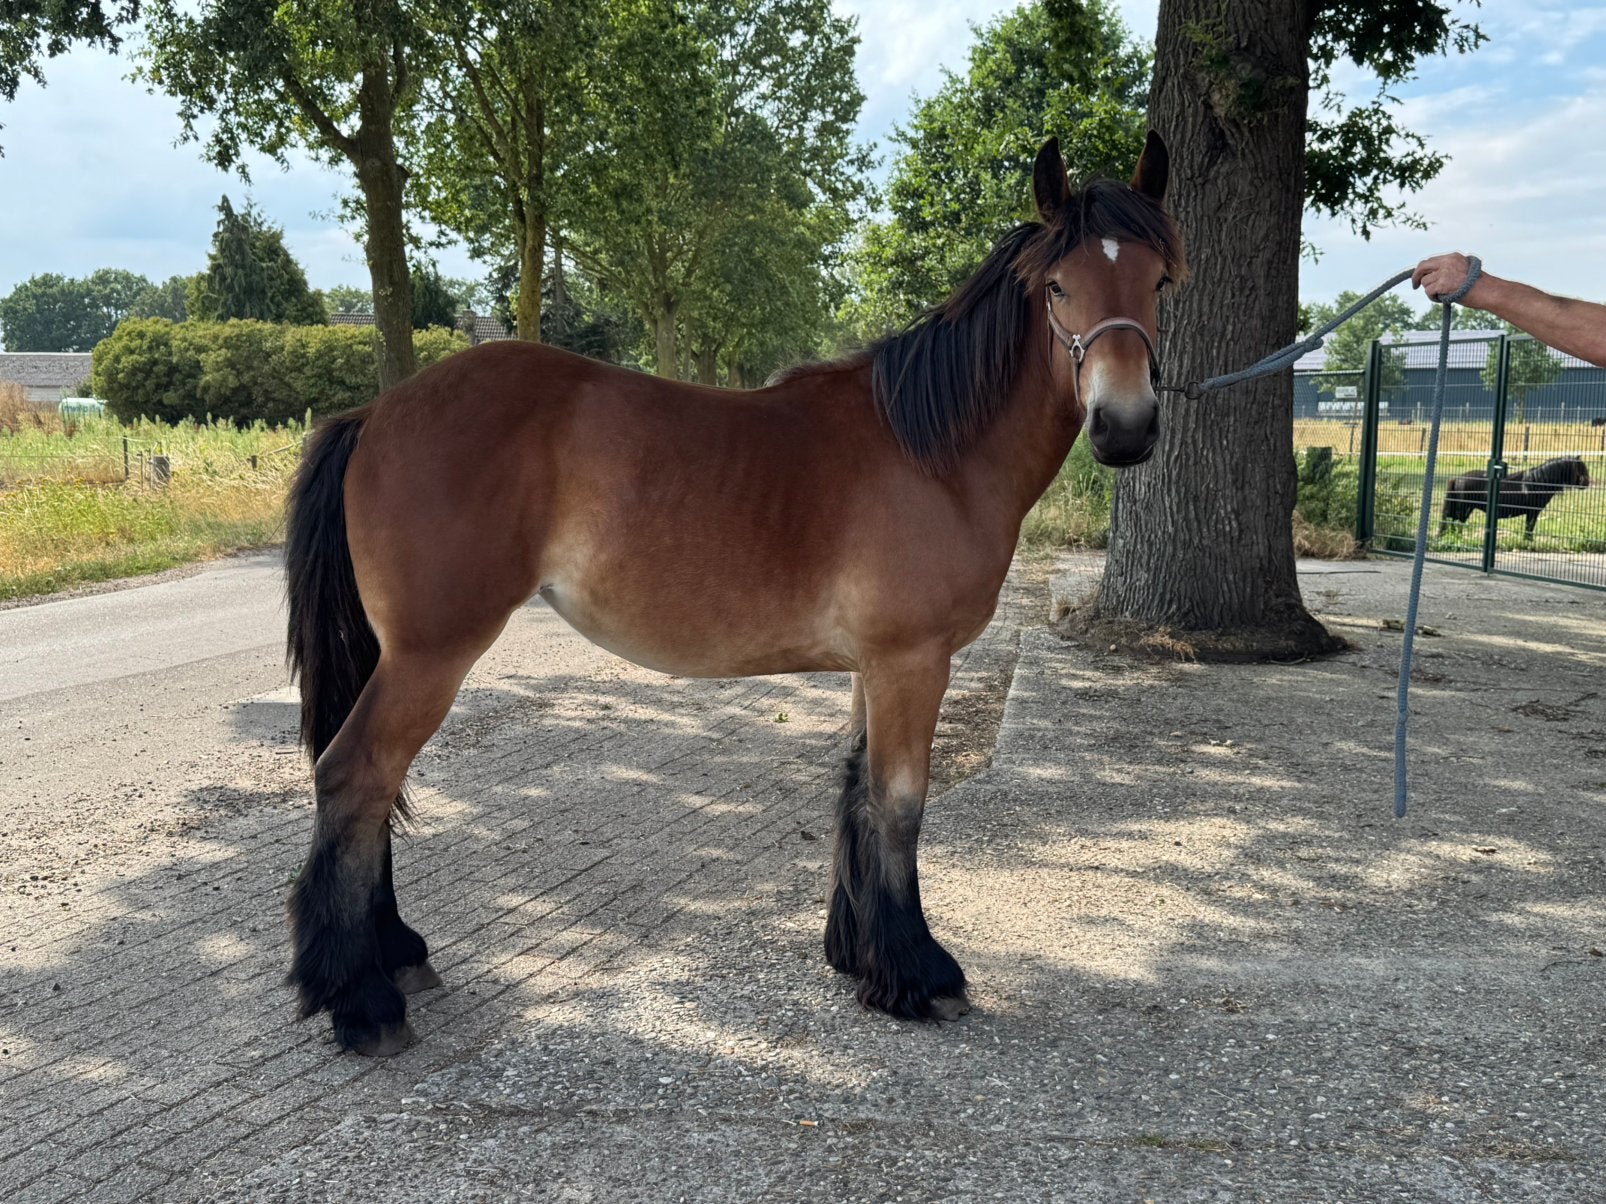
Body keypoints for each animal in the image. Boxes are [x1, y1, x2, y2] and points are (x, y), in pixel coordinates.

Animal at [283, 134, 1186, 1055]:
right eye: (1058, 286)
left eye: (1160, 281)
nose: (1124, 427)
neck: (932, 450)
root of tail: (374, 414)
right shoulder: (912, 662)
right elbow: (898, 805)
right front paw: (919, 974)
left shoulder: (874, 666)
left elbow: (855, 789)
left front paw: (858, 958)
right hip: (430, 655)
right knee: (356, 778)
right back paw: (361, 999)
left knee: (372, 790)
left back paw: (394, 954)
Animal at [1439, 456, 1590, 538]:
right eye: (1581, 469)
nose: (1587, 483)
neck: (1537, 482)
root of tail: (1457, 479)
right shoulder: (1533, 512)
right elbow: (1529, 529)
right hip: (1463, 508)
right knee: (1455, 524)